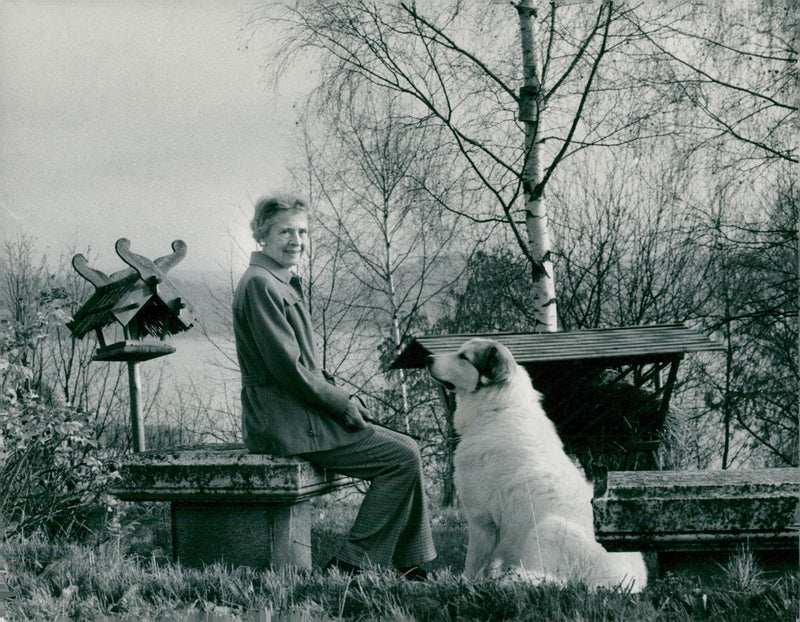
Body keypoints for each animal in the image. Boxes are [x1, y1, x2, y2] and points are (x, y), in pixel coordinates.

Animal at [428, 338, 648, 592]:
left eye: (463, 357)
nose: (428, 359)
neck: (497, 410)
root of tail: (629, 585)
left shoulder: (482, 520)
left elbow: (473, 562)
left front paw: (463, 583)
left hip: (547, 529)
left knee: (556, 582)